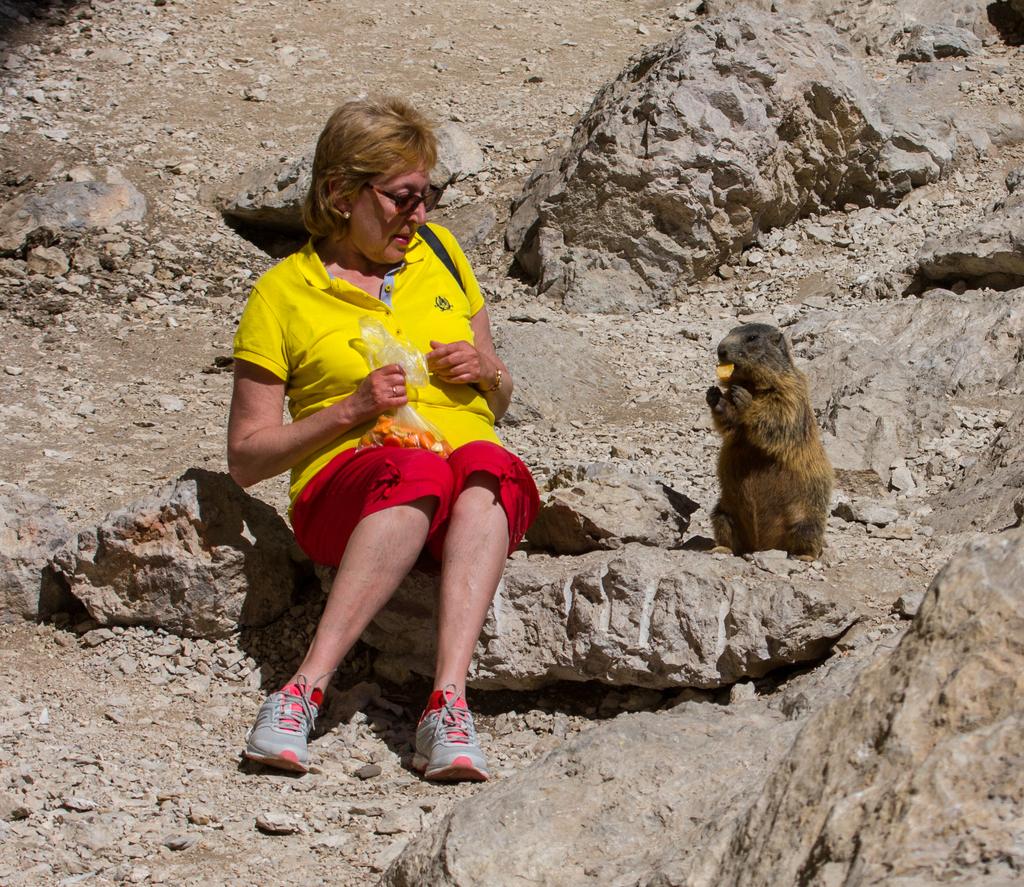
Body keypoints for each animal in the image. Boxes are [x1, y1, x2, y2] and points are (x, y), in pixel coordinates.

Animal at [705, 323, 833, 560]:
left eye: (752, 338)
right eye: (729, 332)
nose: (720, 350)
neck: (752, 384)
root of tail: (762, 546)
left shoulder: (790, 391)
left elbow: (776, 416)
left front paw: (745, 401)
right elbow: (732, 426)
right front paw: (716, 397)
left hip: (808, 519)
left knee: (809, 535)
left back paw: (804, 556)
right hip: (723, 512)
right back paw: (722, 548)